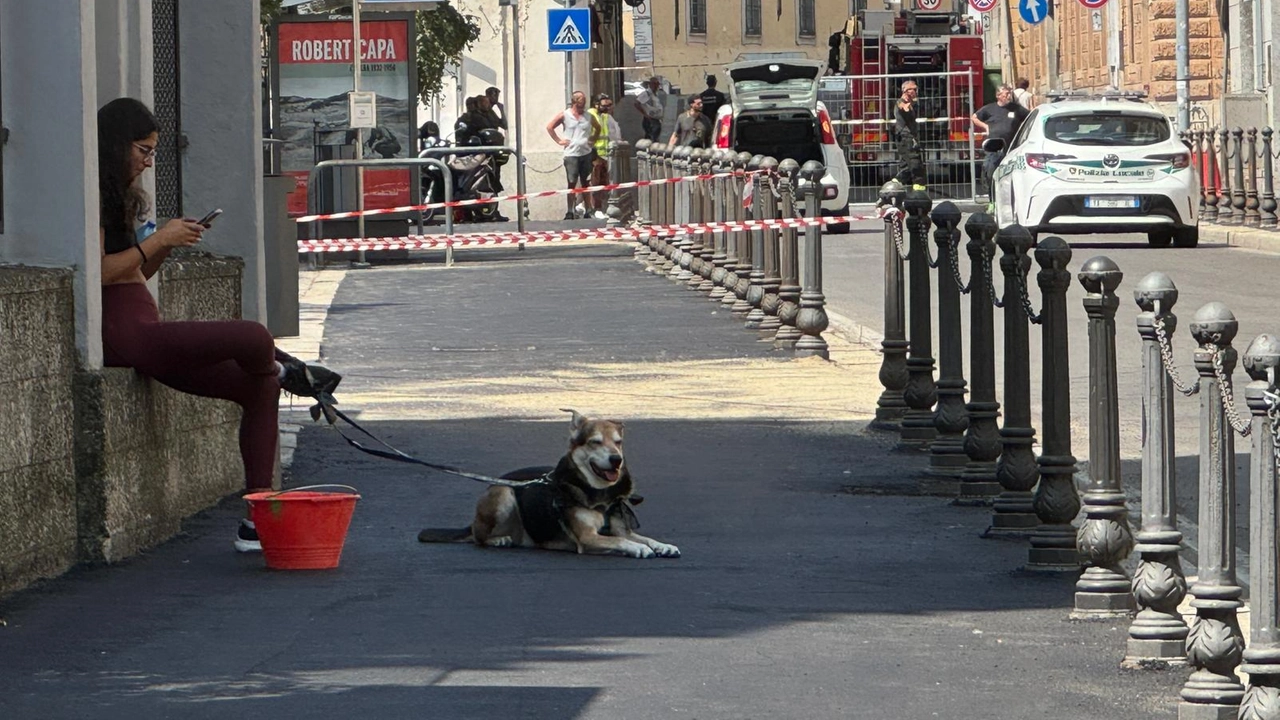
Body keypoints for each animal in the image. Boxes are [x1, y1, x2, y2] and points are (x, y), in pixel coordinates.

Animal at [417, 409, 680, 556]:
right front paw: (639, 549)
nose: (617, 460)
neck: (600, 495)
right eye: (595, 442)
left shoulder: (621, 528)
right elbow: (619, 540)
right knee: (478, 536)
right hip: (503, 493)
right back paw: (497, 539)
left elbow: (637, 536)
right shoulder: (588, 538)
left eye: (618, 442)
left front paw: (661, 545)